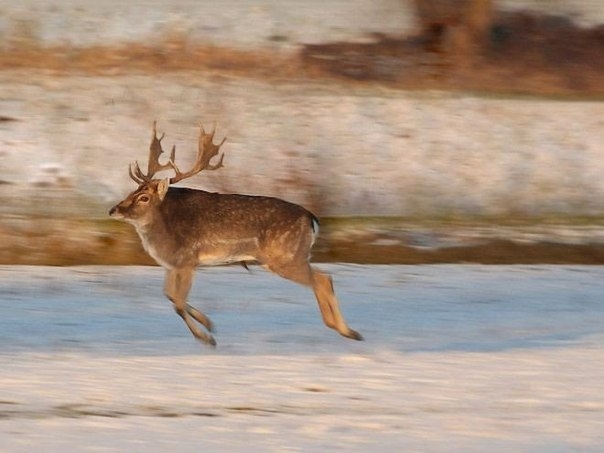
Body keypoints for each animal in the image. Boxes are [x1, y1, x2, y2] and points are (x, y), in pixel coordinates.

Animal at [108, 122, 360, 344]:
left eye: (144, 198)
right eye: (132, 191)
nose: (114, 210)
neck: (163, 236)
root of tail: (311, 218)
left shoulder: (187, 260)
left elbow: (178, 302)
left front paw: (207, 338)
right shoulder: (172, 265)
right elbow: (170, 296)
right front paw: (209, 324)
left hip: (285, 257)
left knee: (323, 279)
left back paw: (348, 331)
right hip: (287, 258)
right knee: (323, 278)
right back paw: (343, 329)